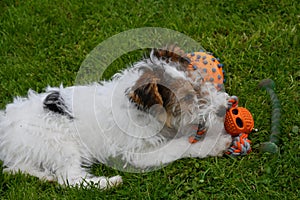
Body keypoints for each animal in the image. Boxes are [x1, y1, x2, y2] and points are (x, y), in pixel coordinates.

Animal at [0, 46, 232, 189]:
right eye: (186, 97)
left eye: (200, 82)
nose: (224, 109)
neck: (143, 111)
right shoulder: (138, 154)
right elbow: (180, 146)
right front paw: (218, 144)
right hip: (60, 145)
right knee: (69, 179)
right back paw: (109, 182)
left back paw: (45, 176)